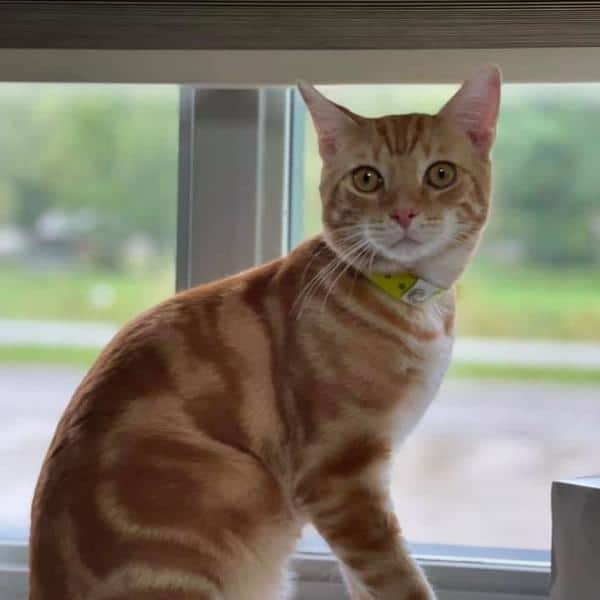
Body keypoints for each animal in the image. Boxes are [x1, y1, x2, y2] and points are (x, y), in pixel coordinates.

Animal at [31, 67, 502, 600]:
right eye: (367, 179)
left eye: (440, 174)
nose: (403, 213)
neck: (409, 301)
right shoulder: (339, 478)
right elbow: (395, 578)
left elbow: (364, 580)